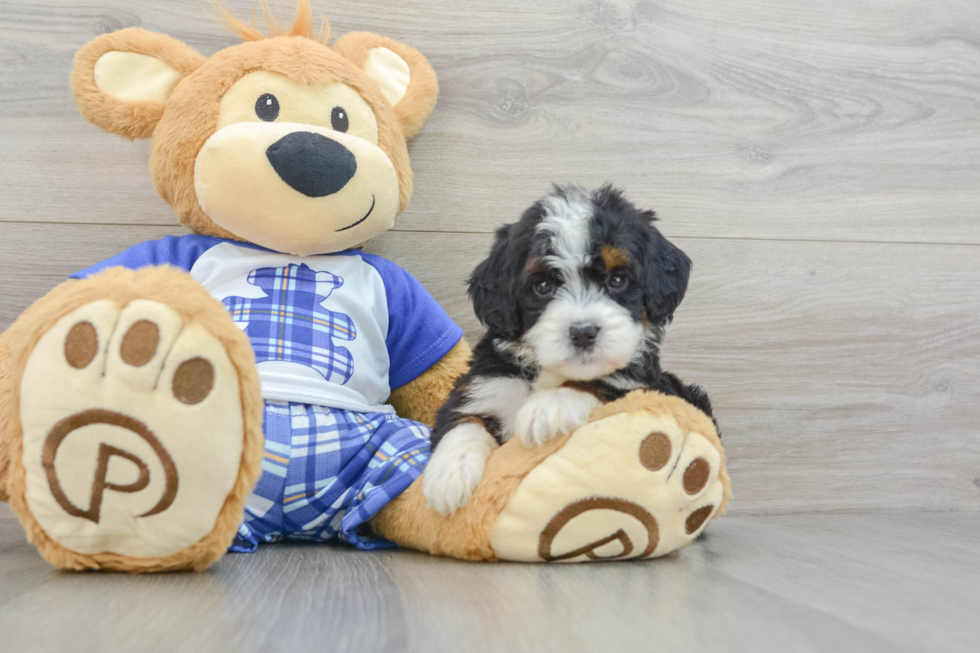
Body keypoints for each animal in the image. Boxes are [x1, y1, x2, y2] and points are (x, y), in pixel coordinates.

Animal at [422, 183, 712, 516]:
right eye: (543, 286)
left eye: (617, 280)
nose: (583, 332)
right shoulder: (485, 386)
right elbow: (463, 420)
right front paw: (448, 474)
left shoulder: (649, 389)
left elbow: (605, 382)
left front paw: (551, 405)